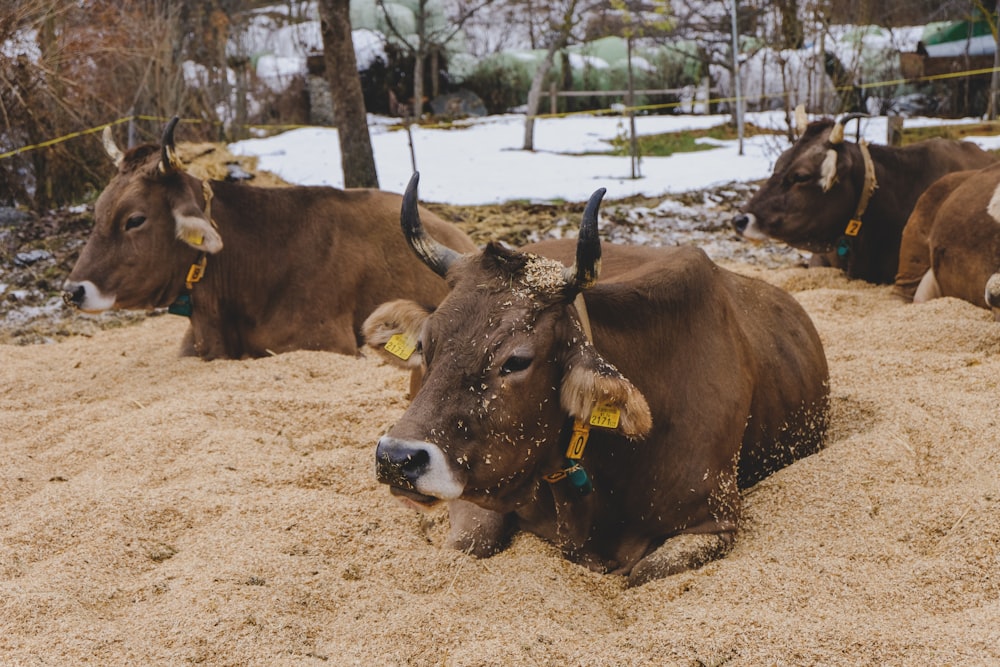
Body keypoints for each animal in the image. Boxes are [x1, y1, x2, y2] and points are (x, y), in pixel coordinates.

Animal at [364, 175, 832, 588]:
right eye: (427, 343)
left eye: (516, 360)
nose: (396, 458)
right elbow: (470, 542)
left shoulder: (716, 520)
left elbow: (644, 573)